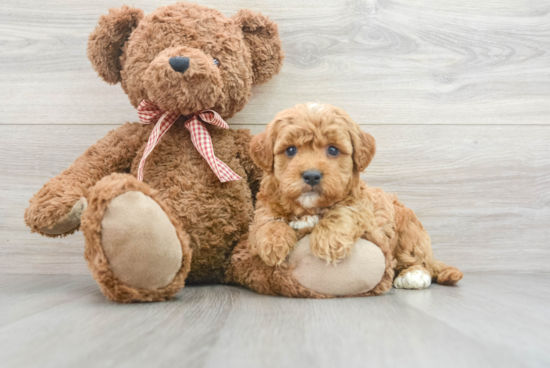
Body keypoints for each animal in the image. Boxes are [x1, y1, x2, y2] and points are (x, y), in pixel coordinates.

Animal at [248, 102, 464, 288]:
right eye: (291, 150)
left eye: (333, 149)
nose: (311, 175)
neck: (309, 208)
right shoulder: (265, 204)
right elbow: (268, 220)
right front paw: (272, 243)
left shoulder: (363, 208)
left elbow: (343, 212)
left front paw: (328, 241)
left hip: (409, 233)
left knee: (418, 260)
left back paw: (413, 275)